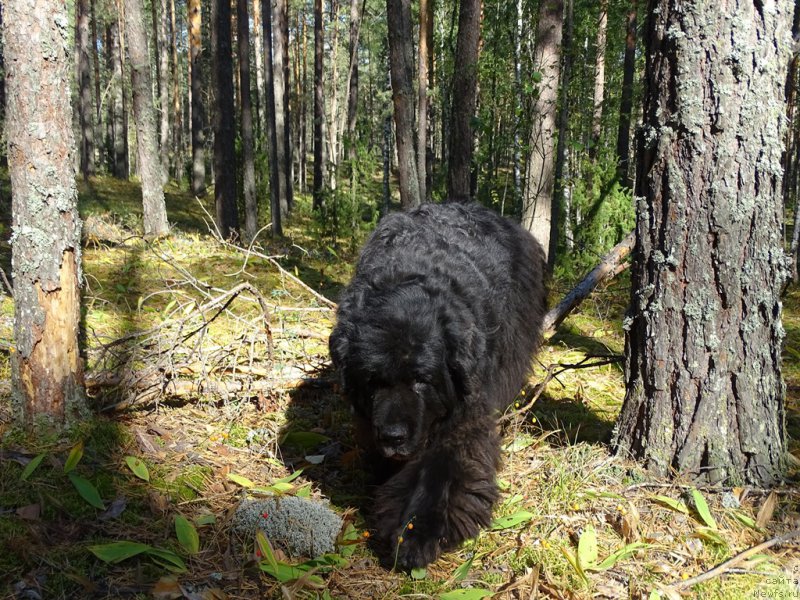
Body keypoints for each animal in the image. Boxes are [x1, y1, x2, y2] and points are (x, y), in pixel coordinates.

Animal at [328, 200, 548, 568]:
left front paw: (418, 533)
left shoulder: (465, 411)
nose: (393, 436)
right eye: (373, 380)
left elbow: (443, 468)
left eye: (422, 380)